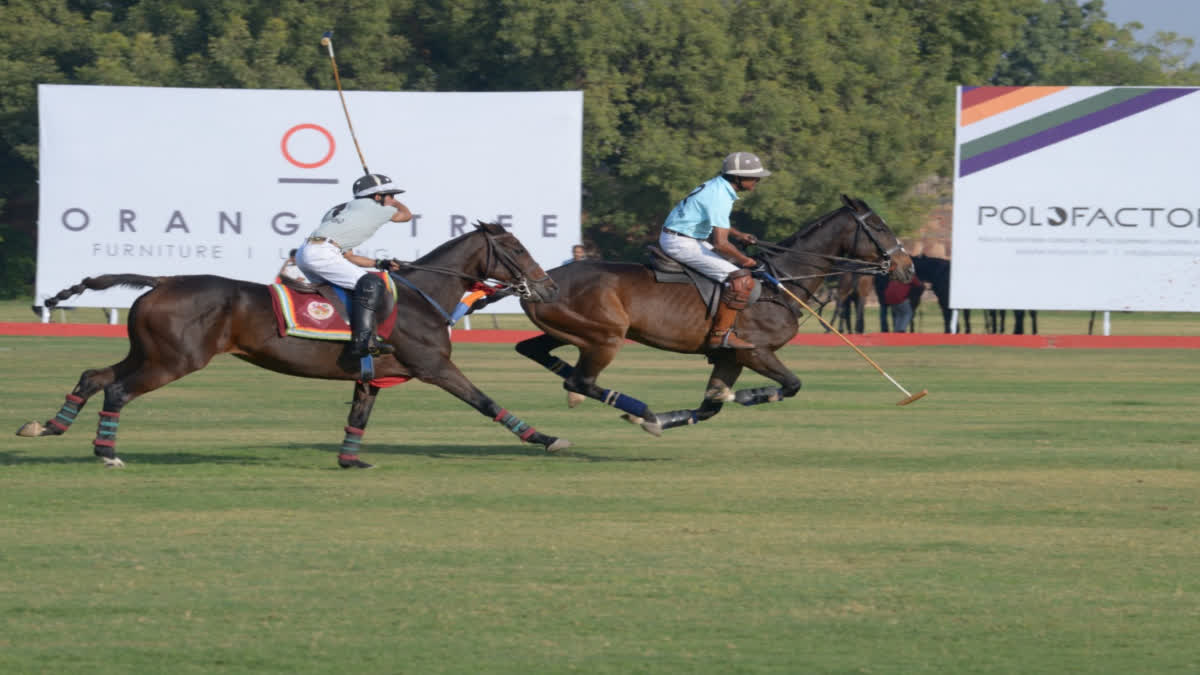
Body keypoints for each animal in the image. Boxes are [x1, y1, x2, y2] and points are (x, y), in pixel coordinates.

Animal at [12, 223, 566, 466]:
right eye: (516, 248)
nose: (547, 287)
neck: (423, 295)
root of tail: (163, 280)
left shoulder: (373, 376)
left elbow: (358, 417)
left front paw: (350, 460)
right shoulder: (433, 366)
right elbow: (486, 401)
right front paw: (545, 437)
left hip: (147, 351)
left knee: (94, 376)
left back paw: (49, 425)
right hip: (174, 360)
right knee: (117, 391)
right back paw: (106, 452)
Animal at [511, 194, 912, 437]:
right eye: (878, 227)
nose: (907, 267)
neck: (779, 281)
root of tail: (538, 280)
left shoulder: (728, 357)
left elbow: (709, 405)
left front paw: (667, 420)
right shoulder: (753, 351)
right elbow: (791, 384)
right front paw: (748, 396)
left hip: (574, 329)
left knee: (533, 351)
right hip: (607, 336)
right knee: (579, 379)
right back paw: (637, 408)